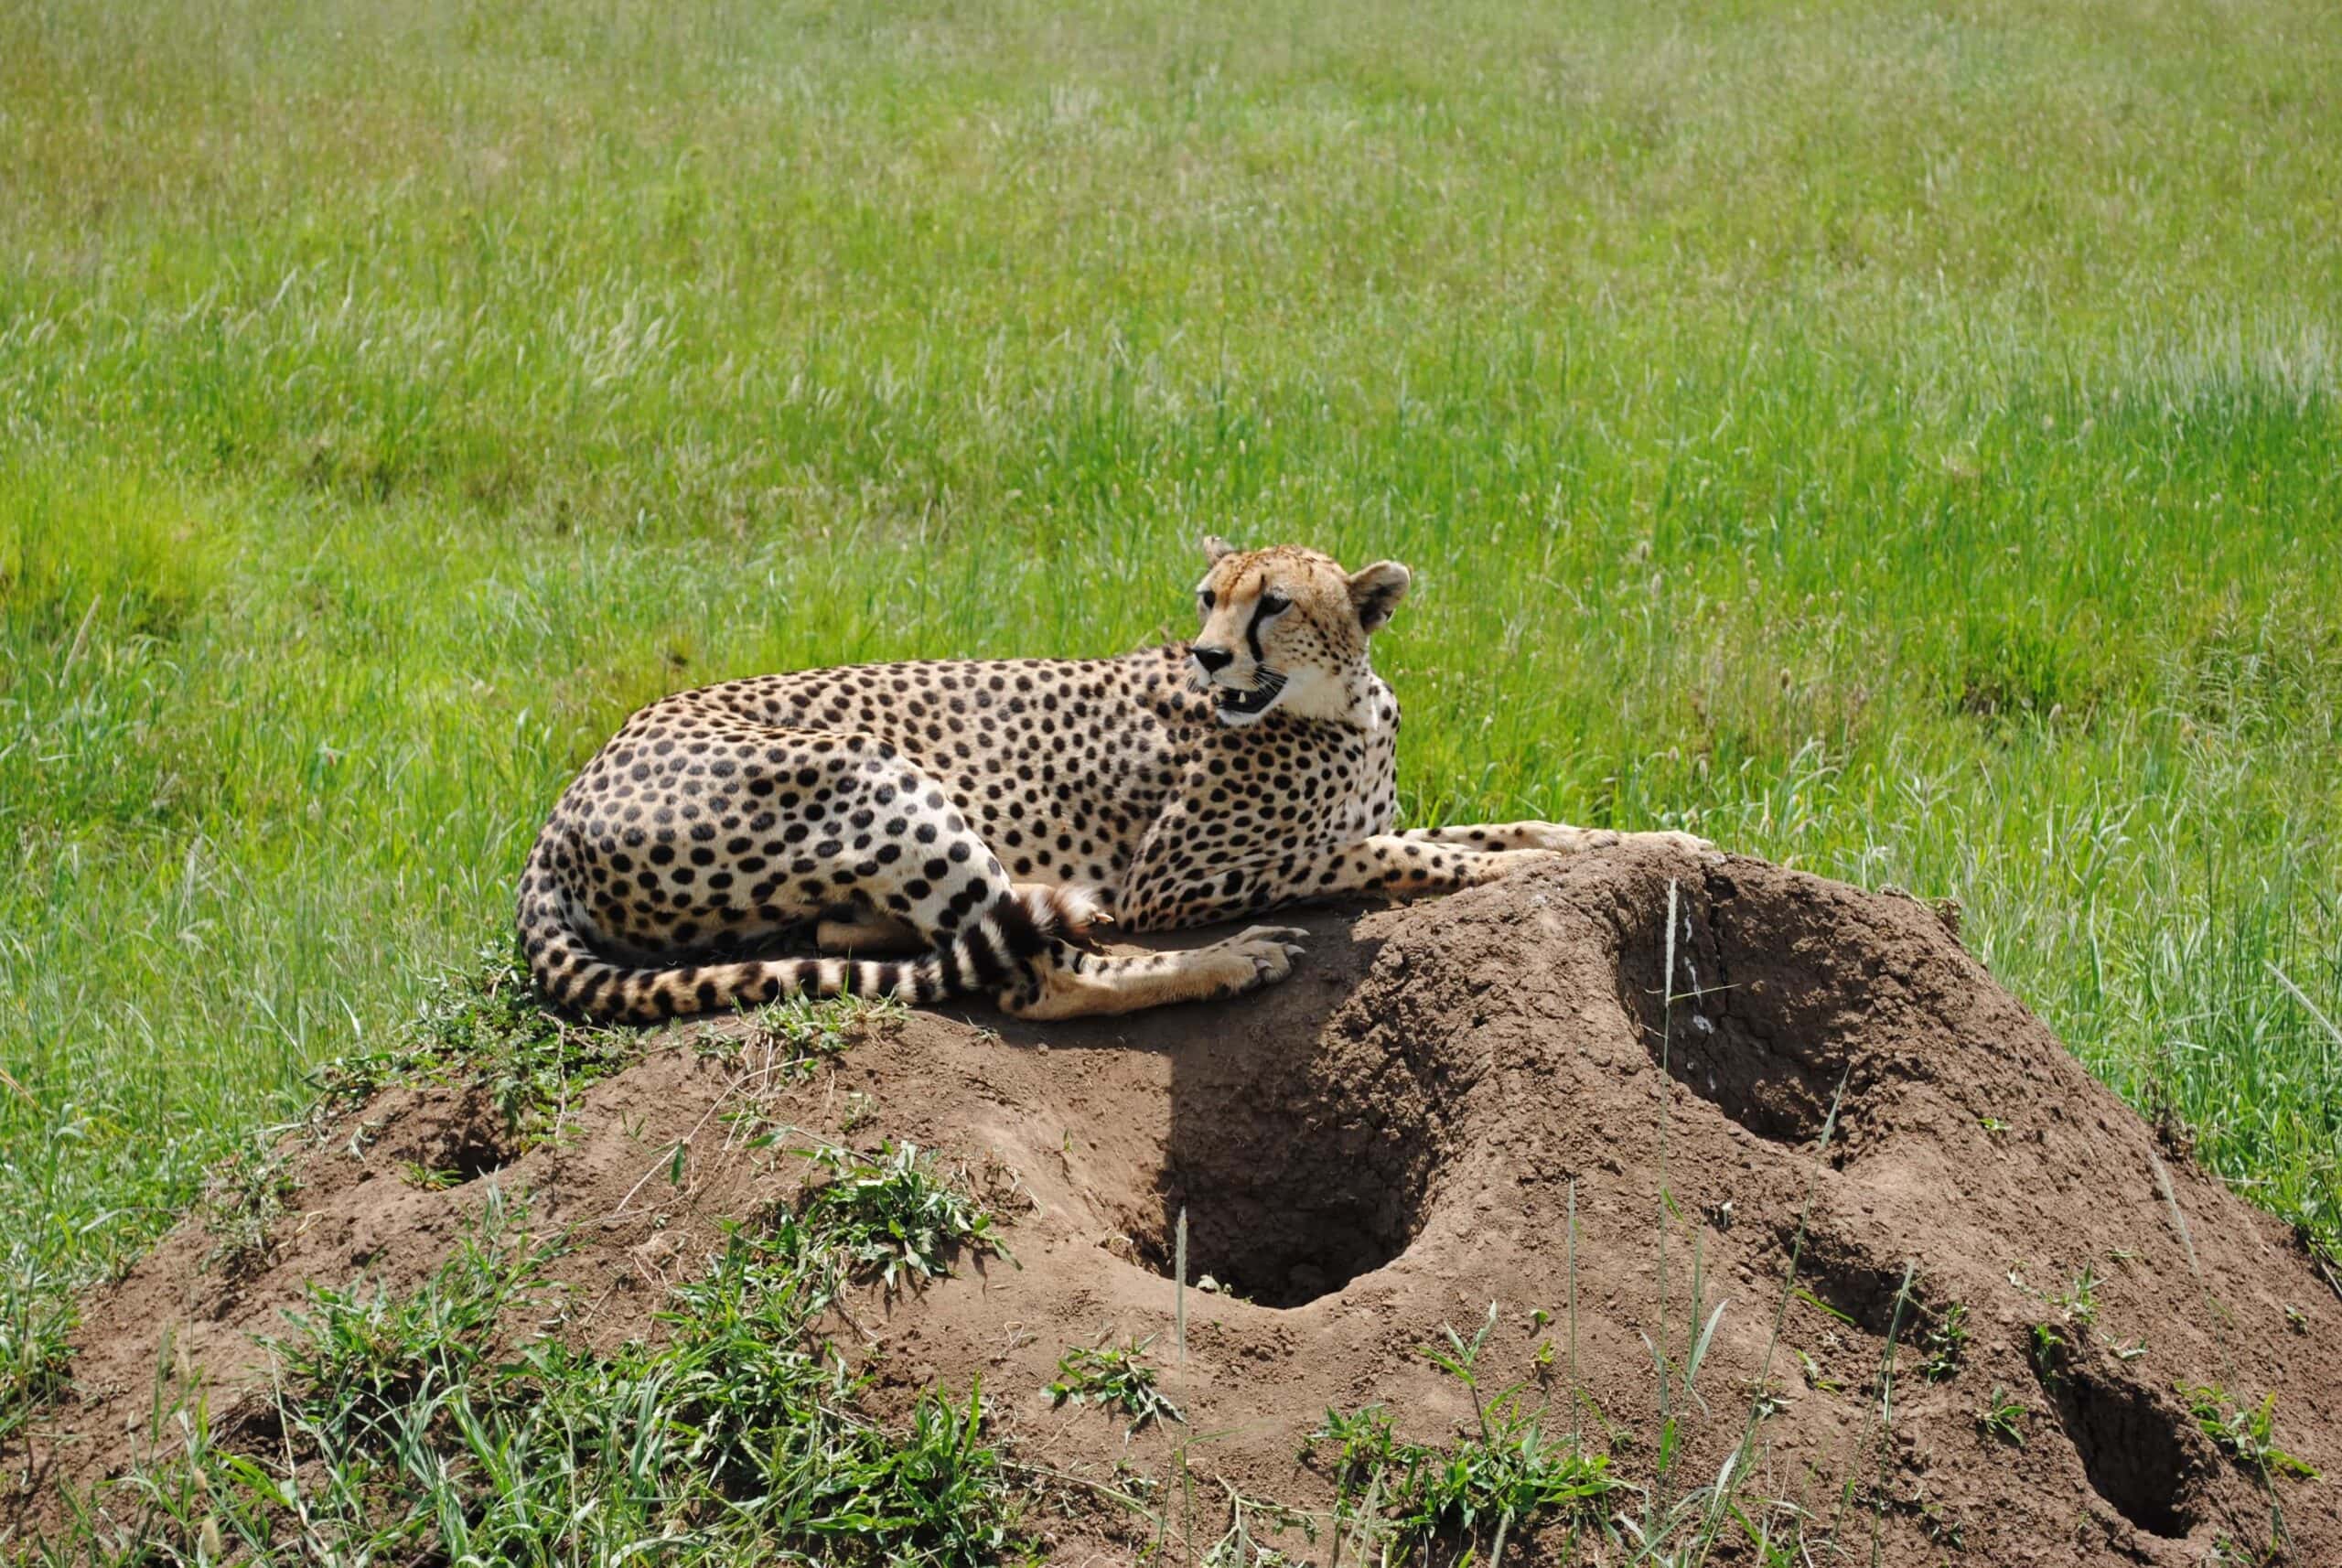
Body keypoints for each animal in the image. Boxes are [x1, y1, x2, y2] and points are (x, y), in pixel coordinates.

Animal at [521, 540, 1714, 1029]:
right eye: (1206, 597)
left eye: (1273, 602)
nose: (1208, 657)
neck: (1339, 705)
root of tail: (560, 806)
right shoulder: (1174, 876)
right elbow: (1396, 851)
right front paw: (1496, 873)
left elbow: (1510, 825)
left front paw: (1651, 845)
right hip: (876, 776)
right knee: (1029, 976)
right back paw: (1227, 962)